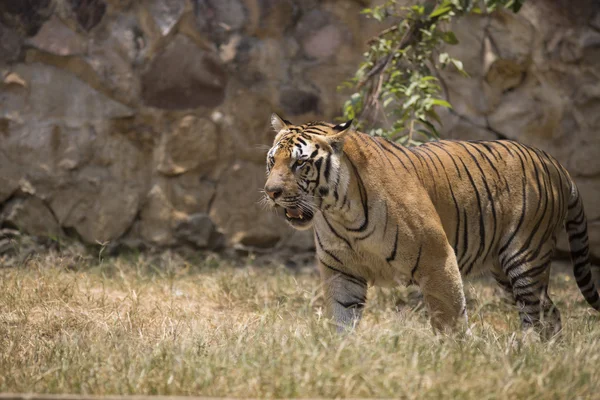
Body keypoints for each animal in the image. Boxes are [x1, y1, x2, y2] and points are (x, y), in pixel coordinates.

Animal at [264, 113, 600, 338]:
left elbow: (449, 318)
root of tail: (554, 163)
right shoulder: (342, 270)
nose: (271, 192)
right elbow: (342, 319)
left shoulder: (437, 258)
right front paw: (341, 356)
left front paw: (456, 359)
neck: (339, 211)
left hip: (525, 257)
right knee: (551, 313)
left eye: (300, 163)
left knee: (536, 313)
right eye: (272, 161)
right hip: (505, 270)